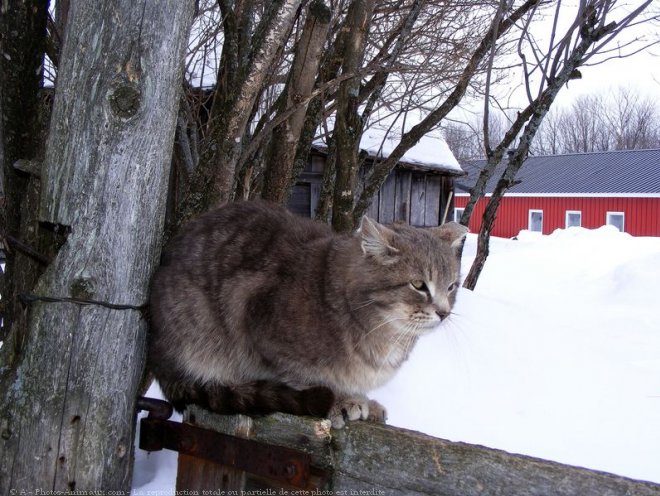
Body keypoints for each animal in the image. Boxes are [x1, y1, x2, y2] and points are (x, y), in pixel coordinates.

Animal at [150, 200, 470, 428]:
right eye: (418, 285)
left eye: (451, 286)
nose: (443, 312)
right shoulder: (253, 320)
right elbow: (302, 377)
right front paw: (342, 400)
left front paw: (365, 400)